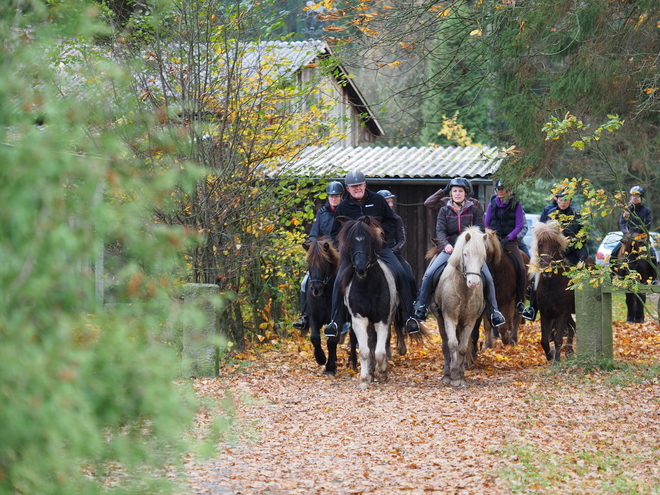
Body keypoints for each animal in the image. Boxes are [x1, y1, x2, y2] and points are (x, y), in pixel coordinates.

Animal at [338, 217, 410, 392]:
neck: (367, 286)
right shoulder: (359, 319)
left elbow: (379, 351)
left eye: (368, 241)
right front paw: (365, 378)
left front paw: (382, 373)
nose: (360, 269)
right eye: (350, 243)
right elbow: (365, 351)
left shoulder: (382, 319)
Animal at [430, 226, 488, 388]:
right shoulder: (449, 317)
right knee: (446, 344)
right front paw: (453, 376)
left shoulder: (470, 320)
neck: (463, 291)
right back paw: (446, 374)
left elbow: (462, 347)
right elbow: (452, 344)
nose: (473, 283)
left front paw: (459, 376)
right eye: (465, 254)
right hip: (440, 319)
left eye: (483, 256)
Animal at [528, 223, 576, 362]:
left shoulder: (562, 314)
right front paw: (550, 357)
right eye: (540, 245)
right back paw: (569, 351)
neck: (551, 287)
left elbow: (558, 339)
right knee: (573, 326)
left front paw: (557, 360)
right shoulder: (545, 314)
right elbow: (544, 340)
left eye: (555, 245)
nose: (546, 270)